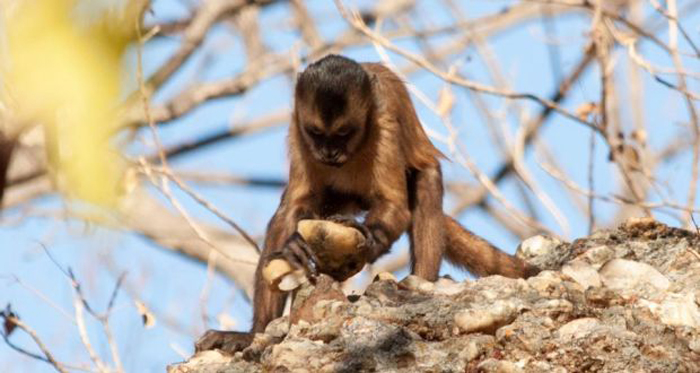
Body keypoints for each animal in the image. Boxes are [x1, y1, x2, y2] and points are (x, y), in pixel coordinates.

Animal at [194, 53, 540, 354]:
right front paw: (293, 247)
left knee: (425, 180)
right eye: (316, 133)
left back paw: (421, 282)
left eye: (343, 133)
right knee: (288, 212)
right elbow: (293, 207)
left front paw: (368, 239)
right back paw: (253, 334)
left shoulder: (385, 118)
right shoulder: (297, 125)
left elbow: (395, 205)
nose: (329, 152)